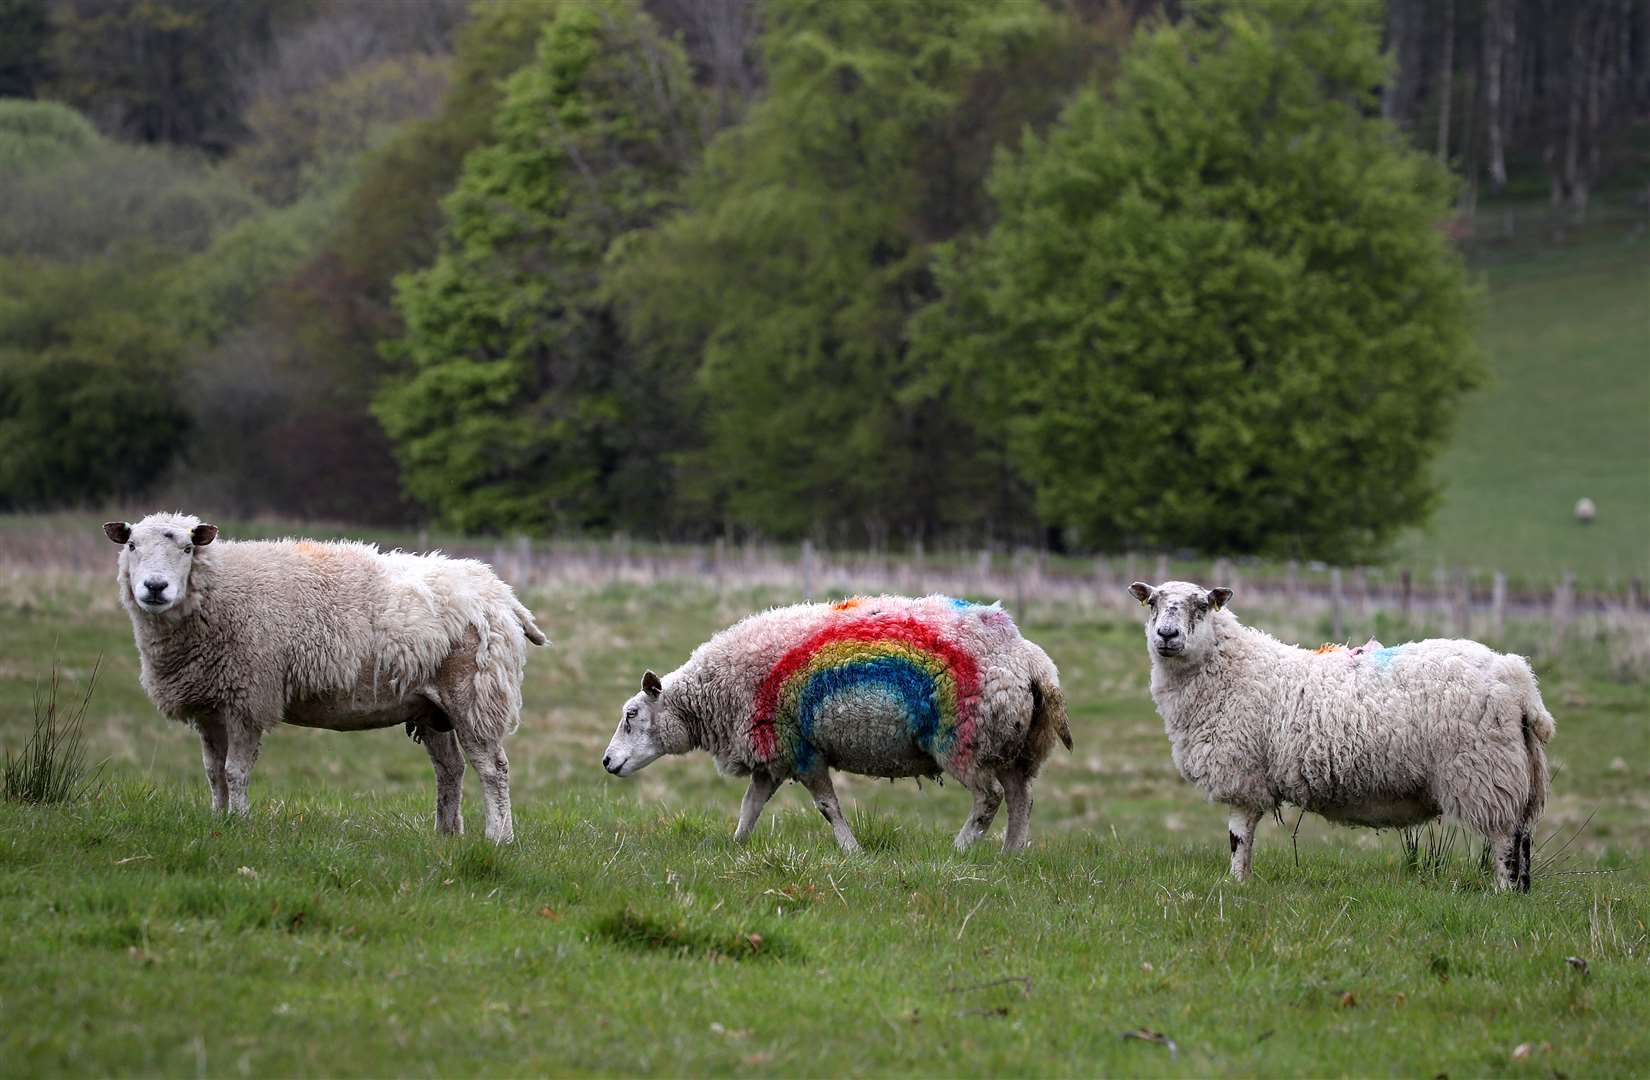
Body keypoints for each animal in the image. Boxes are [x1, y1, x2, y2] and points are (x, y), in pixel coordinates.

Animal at [108, 514, 547, 844]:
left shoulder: (250, 697)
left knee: (492, 768)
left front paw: (240, 823)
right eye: (131, 546)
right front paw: (217, 819)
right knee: (450, 768)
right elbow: (213, 771)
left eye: (187, 548)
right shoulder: (211, 705)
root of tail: (501, 592)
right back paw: (446, 834)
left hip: (475, 693)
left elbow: (236, 770)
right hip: (430, 705)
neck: (219, 590)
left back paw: (499, 837)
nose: (155, 587)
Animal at [600, 596, 1075, 857]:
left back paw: (957, 852)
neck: (717, 695)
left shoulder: (801, 749)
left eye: (631, 715)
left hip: (964, 741)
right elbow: (750, 807)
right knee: (1021, 799)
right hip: (1017, 746)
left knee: (989, 799)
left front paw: (852, 852)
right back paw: (1011, 856)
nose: (606, 762)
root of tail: (1032, 661)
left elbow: (828, 807)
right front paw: (734, 845)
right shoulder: (773, 754)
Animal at [1128, 583, 1551, 896]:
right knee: (1524, 836)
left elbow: (1239, 837)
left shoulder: (1242, 776)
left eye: (1202, 606)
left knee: (1504, 838)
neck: (1233, 669)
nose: (1166, 635)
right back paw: (1521, 893)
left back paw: (1501, 891)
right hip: (1517, 773)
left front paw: (1236, 883)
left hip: (1484, 772)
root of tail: (1516, 674)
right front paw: (1241, 882)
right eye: (1153, 603)